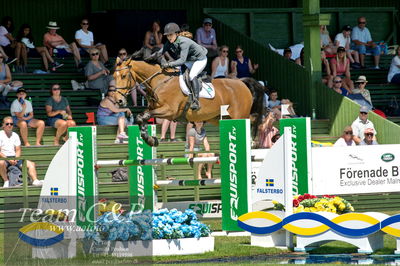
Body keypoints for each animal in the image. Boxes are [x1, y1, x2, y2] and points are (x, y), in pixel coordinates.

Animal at [113, 57, 266, 148]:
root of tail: (241, 82)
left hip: (239, 115)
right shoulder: (154, 110)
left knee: (253, 119)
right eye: (114, 76)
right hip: (220, 118)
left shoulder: (169, 111)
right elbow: (141, 118)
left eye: (124, 76)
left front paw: (150, 139)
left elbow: (141, 117)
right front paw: (150, 139)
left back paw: (254, 141)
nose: (119, 100)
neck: (160, 82)